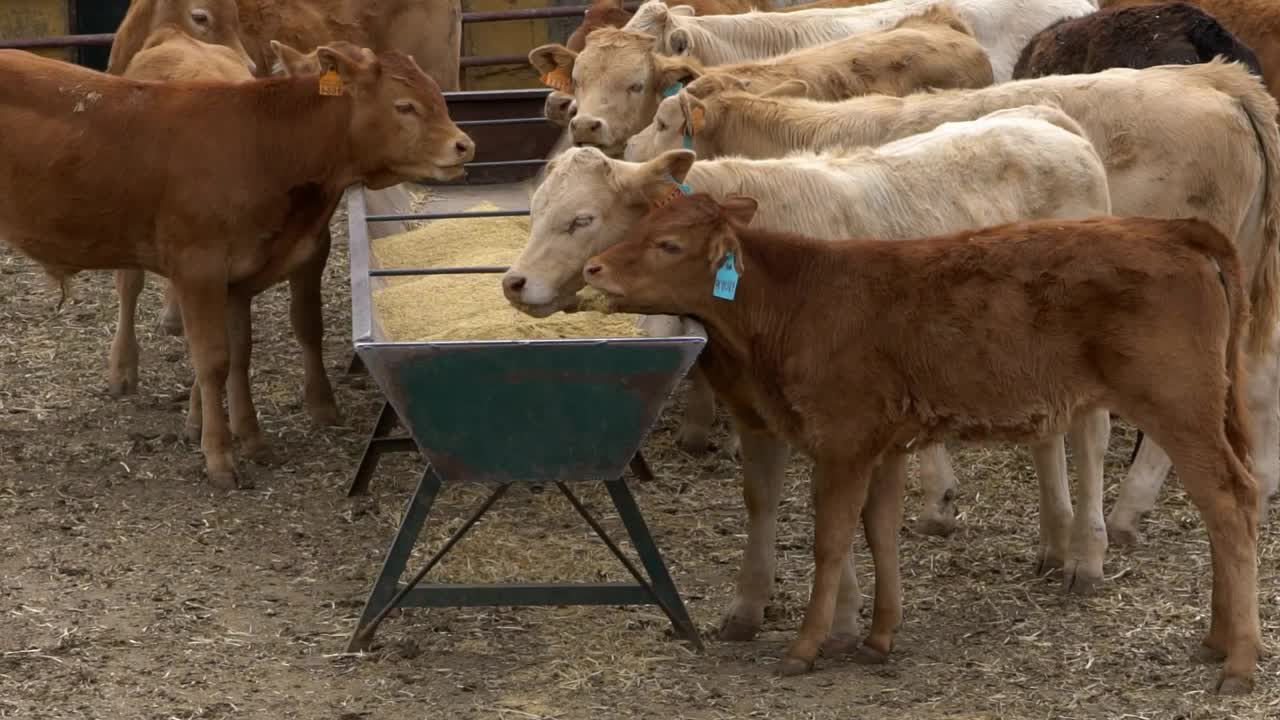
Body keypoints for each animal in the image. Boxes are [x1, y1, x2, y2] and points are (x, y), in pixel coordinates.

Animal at [0, 44, 476, 486]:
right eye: (404, 105)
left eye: (437, 95)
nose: (464, 144)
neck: (261, 144)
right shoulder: (199, 269)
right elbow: (213, 361)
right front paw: (219, 456)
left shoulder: (239, 280)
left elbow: (240, 354)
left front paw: (252, 438)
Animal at [504, 102, 1116, 632]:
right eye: (534, 212)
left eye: (581, 219)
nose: (514, 282)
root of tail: (1045, 120)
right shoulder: (757, 405)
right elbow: (762, 496)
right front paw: (750, 606)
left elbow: (834, 508)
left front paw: (840, 618)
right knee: (1048, 434)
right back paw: (1053, 542)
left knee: (1090, 434)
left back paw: (1086, 556)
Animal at [586, 192, 1259, 696]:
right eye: (639, 224)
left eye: (669, 244)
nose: (593, 269)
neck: (799, 299)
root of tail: (1167, 228)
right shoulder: (883, 446)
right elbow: (881, 532)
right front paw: (879, 637)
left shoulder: (843, 442)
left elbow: (831, 542)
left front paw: (805, 647)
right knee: (1222, 508)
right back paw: (1215, 641)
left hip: (1177, 405)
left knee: (1232, 505)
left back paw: (1240, 662)